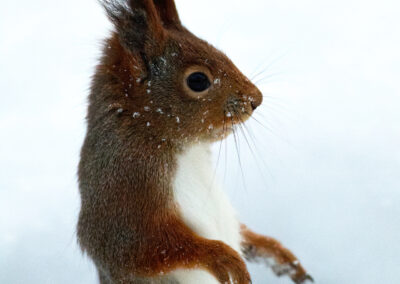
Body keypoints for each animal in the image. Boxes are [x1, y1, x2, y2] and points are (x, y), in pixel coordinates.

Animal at [77, 1, 312, 282]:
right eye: (197, 80)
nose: (256, 99)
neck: (187, 149)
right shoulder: (125, 185)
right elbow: (140, 248)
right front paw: (224, 257)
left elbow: (246, 235)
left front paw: (281, 256)